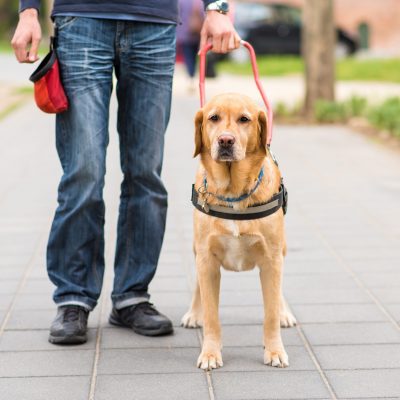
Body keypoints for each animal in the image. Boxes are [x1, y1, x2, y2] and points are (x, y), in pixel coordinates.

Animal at [183, 92, 296, 370]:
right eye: (213, 118)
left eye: (244, 119)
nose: (225, 140)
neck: (233, 192)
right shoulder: (207, 261)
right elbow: (212, 316)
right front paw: (210, 353)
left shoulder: (271, 260)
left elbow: (270, 314)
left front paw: (275, 350)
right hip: (197, 250)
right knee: (199, 288)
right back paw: (194, 312)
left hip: (281, 249)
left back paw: (284, 312)